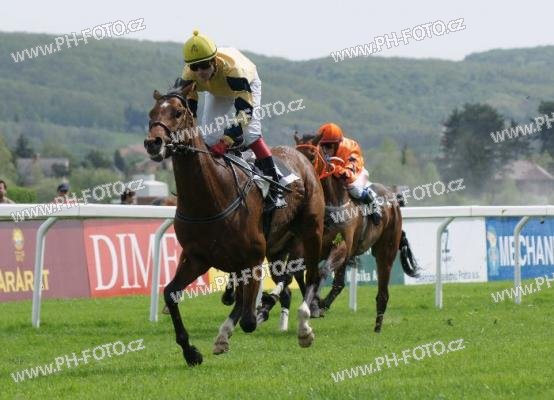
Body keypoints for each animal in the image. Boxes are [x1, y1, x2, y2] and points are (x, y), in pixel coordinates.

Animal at [144, 84, 325, 366]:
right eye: (152, 113)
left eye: (177, 112)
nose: (154, 143)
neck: (211, 197)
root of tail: (301, 157)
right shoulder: (197, 257)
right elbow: (171, 293)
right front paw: (191, 351)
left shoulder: (252, 258)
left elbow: (250, 317)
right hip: (274, 248)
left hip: (310, 232)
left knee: (312, 275)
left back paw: (304, 326)